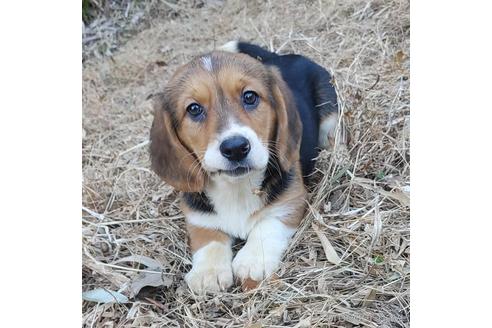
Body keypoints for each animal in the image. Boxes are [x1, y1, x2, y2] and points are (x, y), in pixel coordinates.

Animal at [148, 41, 344, 292]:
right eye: (193, 109)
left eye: (250, 96)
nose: (235, 148)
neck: (236, 187)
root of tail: (281, 57)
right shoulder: (196, 215)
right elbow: (207, 237)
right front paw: (208, 272)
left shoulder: (291, 200)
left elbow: (267, 223)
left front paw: (253, 260)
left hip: (330, 111)